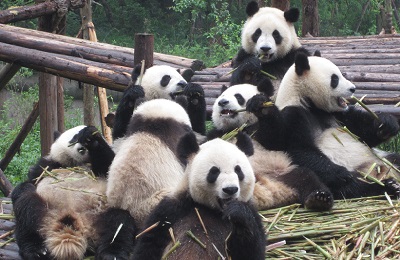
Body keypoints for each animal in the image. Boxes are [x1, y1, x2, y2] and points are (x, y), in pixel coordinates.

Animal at [10, 125, 131, 258]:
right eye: (74, 138)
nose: (83, 148)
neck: (76, 163)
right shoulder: (49, 165)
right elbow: (29, 182)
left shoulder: (103, 169)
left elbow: (109, 165)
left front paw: (92, 137)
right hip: (42, 208)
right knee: (26, 212)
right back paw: (36, 250)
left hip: (101, 214)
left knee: (118, 222)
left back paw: (111, 254)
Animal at [131, 132, 268, 260]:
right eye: (214, 171)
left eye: (238, 170)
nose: (230, 189)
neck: (215, 211)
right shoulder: (173, 209)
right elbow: (150, 241)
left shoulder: (252, 215)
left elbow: (252, 251)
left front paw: (237, 212)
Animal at [208, 83, 332, 211]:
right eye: (221, 96)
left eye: (238, 96)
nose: (222, 102)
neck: (239, 127)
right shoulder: (219, 133)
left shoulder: (260, 130)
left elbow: (276, 139)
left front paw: (261, 106)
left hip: (284, 174)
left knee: (306, 176)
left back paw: (319, 199)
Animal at [247, 52, 400, 199]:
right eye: (335, 79)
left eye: (341, 74)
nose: (353, 88)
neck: (310, 104)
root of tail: (375, 170)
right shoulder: (294, 115)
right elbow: (299, 149)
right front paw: (263, 107)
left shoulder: (338, 115)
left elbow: (363, 132)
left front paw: (386, 125)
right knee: (353, 186)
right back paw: (386, 187)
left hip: (382, 157)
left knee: (395, 158)